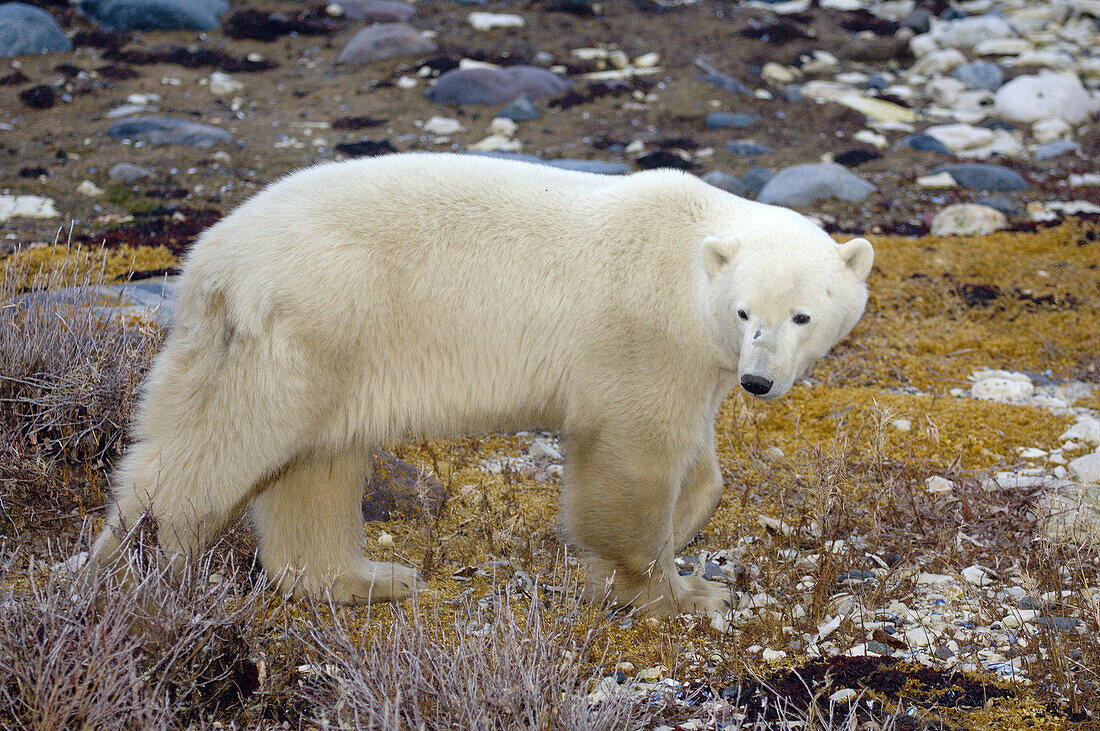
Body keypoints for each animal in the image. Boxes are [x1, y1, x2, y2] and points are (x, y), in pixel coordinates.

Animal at [90, 153, 871, 615]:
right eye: (746, 311)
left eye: (802, 314)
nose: (759, 381)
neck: (688, 256)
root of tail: (210, 259)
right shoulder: (642, 334)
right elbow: (631, 454)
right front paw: (676, 588)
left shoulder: (697, 360)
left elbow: (699, 465)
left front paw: (678, 541)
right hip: (313, 319)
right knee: (230, 443)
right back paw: (139, 560)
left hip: (295, 344)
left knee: (308, 462)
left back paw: (366, 578)